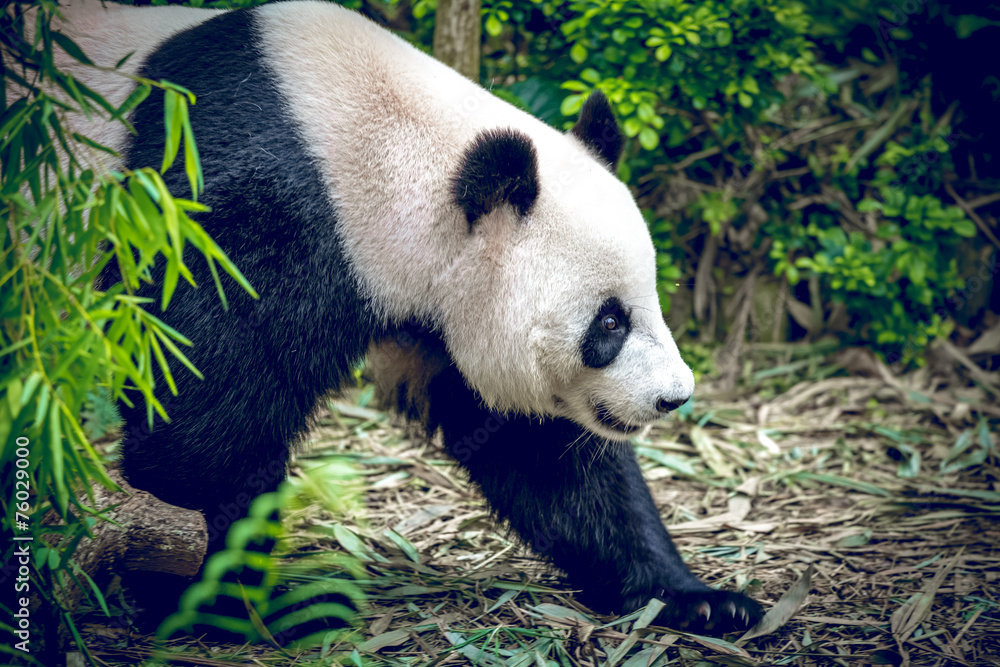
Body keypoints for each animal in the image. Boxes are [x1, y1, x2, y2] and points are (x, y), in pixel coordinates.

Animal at [49, 0, 762, 636]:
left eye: (653, 300)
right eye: (608, 325)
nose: (673, 397)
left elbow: (544, 453)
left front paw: (700, 601)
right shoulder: (236, 213)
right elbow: (198, 429)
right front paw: (235, 601)